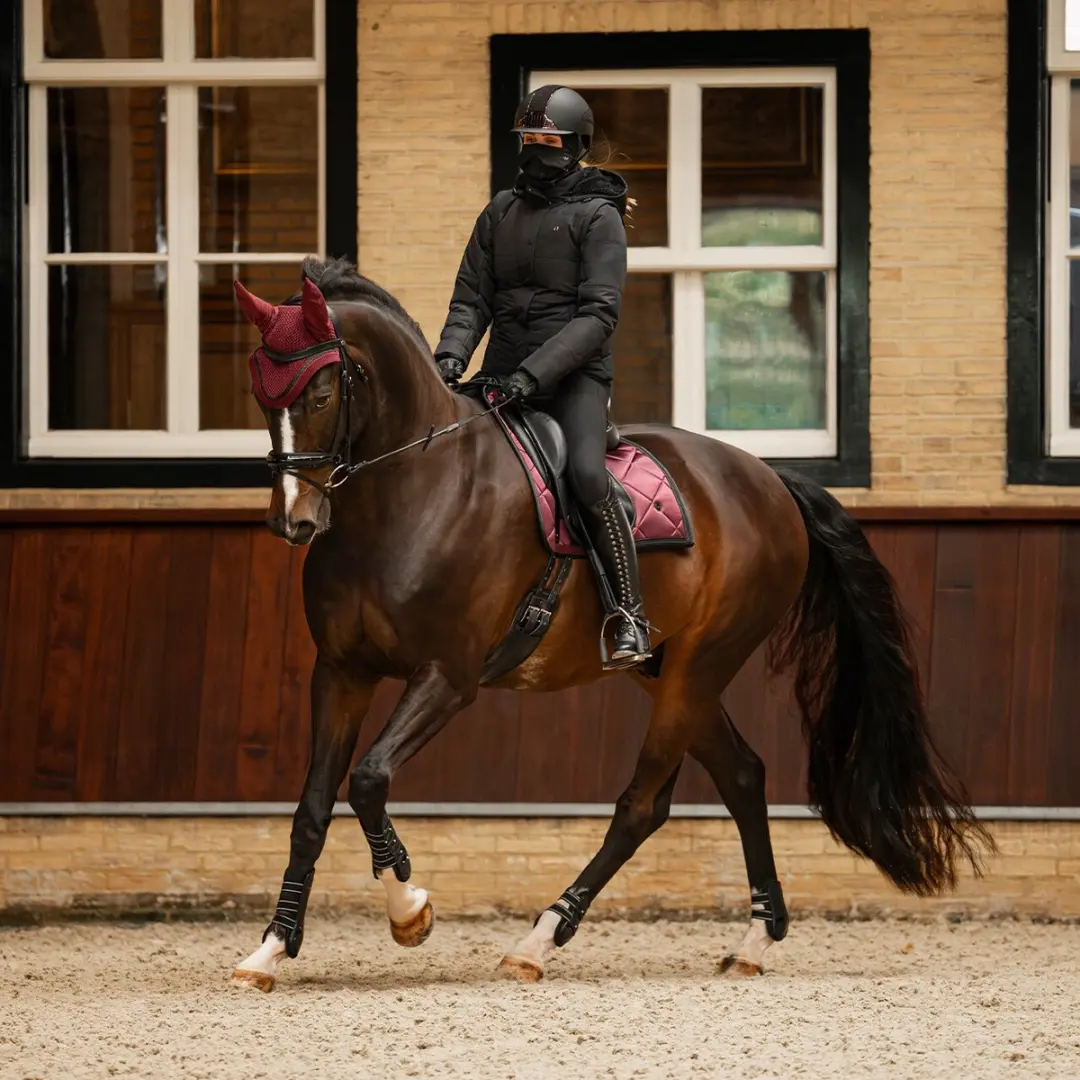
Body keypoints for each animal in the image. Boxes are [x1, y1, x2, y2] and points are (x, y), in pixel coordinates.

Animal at [228, 256, 992, 992]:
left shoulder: (447, 677)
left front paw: (409, 911)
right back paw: (754, 941)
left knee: (641, 806)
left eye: (321, 393)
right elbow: (312, 807)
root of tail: (770, 479)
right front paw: (270, 948)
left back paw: (539, 941)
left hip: (699, 667)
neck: (408, 492)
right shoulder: (341, 672)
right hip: (669, 673)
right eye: (262, 397)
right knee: (743, 776)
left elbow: (368, 780)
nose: (294, 521)